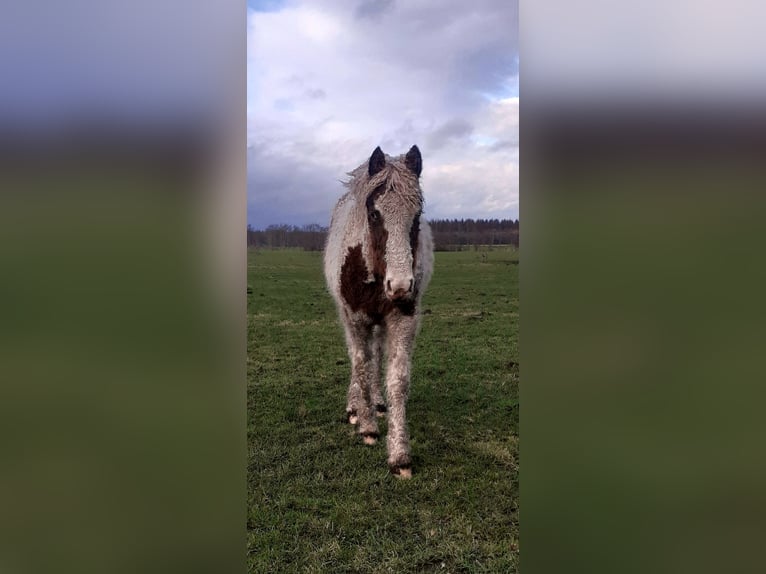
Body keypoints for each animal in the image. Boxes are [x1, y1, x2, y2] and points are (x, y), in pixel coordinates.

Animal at [324, 145, 434, 478]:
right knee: (360, 358)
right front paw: (368, 426)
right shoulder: (355, 318)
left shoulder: (402, 319)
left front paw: (400, 456)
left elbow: (397, 380)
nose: (400, 286)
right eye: (374, 214)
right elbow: (360, 365)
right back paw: (357, 409)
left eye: (417, 216)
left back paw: (377, 403)